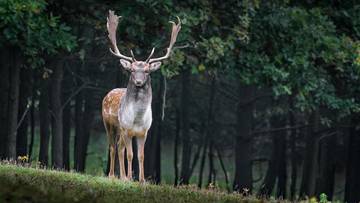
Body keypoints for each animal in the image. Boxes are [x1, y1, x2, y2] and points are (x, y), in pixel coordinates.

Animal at [100, 10, 180, 182]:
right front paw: (130, 178)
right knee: (113, 146)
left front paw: (142, 180)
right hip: (109, 124)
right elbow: (130, 154)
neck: (137, 119)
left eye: (147, 71)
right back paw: (112, 175)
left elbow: (141, 155)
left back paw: (122, 176)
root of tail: (108, 93)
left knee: (119, 147)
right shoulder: (127, 130)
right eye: (131, 70)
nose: (138, 81)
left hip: (120, 130)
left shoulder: (144, 132)